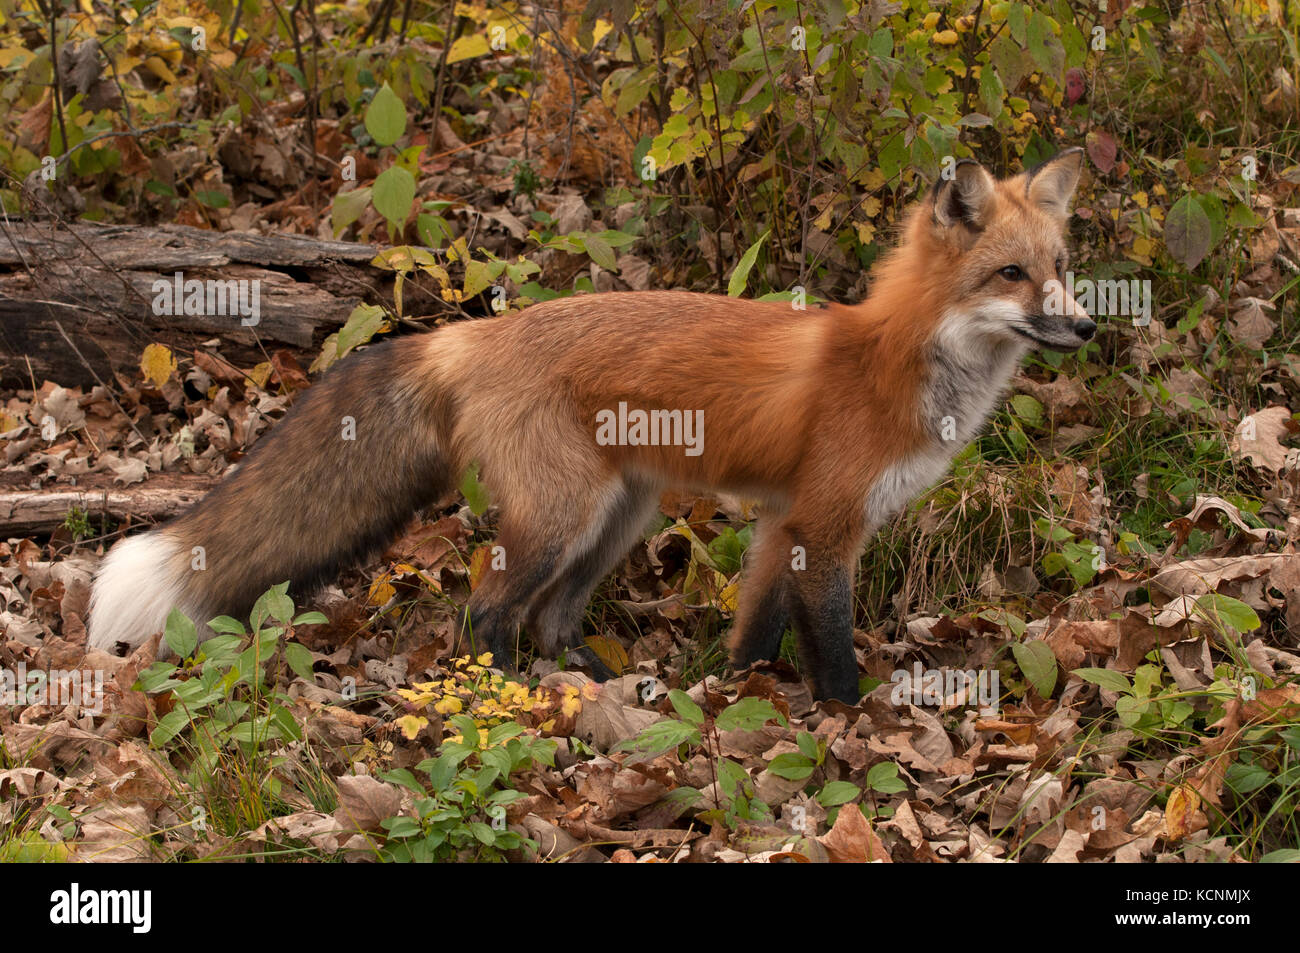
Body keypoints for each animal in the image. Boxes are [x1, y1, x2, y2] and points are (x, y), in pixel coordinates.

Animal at [86, 148, 1092, 696]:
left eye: (1061, 266)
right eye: (1010, 274)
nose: (1085, 325)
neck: (893, 361)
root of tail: (466, 334)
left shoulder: (782, 525)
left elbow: (754, 639)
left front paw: (733, 704)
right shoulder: (825, 524)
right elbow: (834, 660)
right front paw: (845, 727)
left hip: (617, 517)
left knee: (551, 620)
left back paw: (604, 690)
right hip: (564, 516)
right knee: (487, 613)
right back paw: (513, 704)